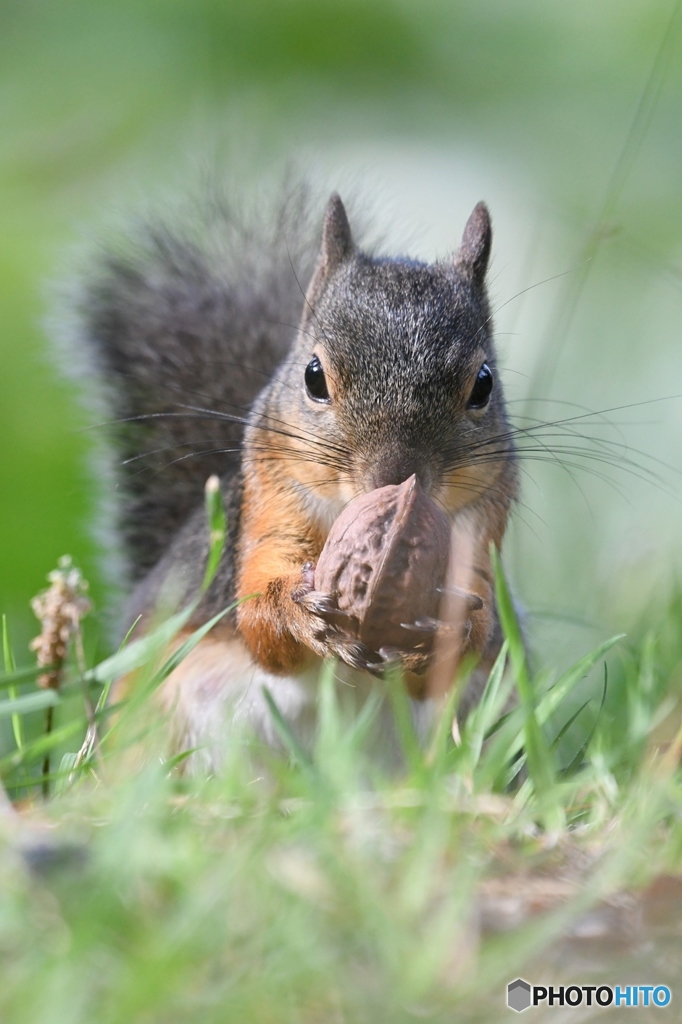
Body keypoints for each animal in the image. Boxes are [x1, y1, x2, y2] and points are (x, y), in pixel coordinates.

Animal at [67, 182, 516, 770]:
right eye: (314, 376)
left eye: (483, 384)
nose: (394, 478)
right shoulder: (267, 509)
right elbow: (259, 622)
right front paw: (300, 612)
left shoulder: (480, 533)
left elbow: (456, 654)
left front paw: (450, 626)